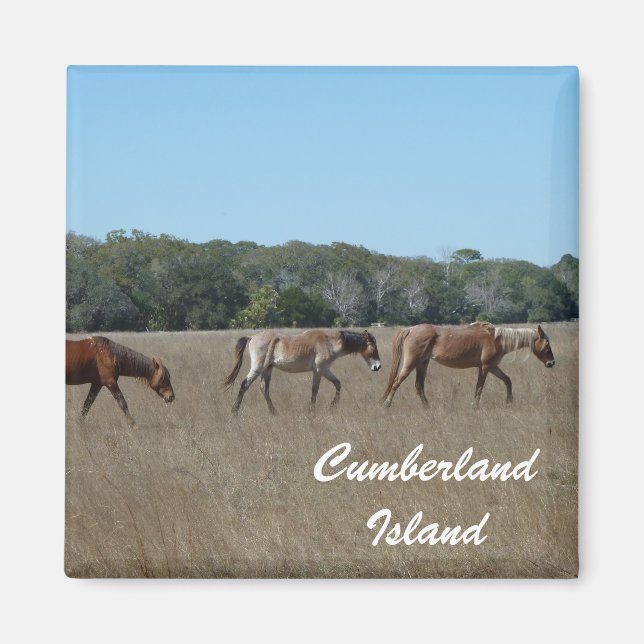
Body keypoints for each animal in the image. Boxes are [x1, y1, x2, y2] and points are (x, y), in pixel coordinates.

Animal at [223, 329, 381, 414]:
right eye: (373, 348)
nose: (378, 366)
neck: (329, 342)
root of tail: (252, 337)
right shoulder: (319, 371)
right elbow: (314, 390)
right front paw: (312, 410)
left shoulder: (325, 370)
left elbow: (337, 384)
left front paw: (332, 406)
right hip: (258, 369)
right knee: (244, 385)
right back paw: (234, 411)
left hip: (267, 370)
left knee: (264, 389)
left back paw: (274, 412)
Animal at [381, 321, 555, 408]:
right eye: (547, 344)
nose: (551, 363)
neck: (496, 339)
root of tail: (409, 329)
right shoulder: (485, 367)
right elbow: (479, 388)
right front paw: (475, 407)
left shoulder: (493, 367)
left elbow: (507, 380)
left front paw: (509, 402)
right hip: (412, 363)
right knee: (397, 382)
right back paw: (387, 404)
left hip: (423, 363)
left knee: (419, 386)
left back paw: (428, 408)